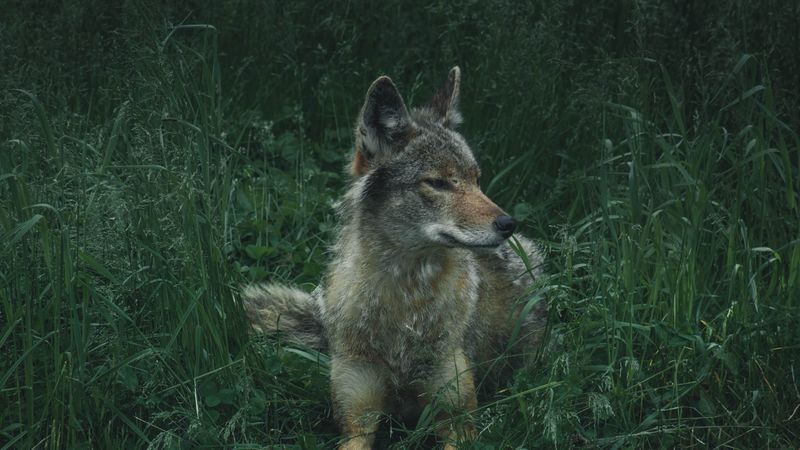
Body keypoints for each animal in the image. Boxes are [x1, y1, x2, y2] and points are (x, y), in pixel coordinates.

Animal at [242, 67, 547, 450]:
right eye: (438, 183)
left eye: (477, 180)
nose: (508, 224)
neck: (405, 304)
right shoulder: (356, 421)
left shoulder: (459, 421)